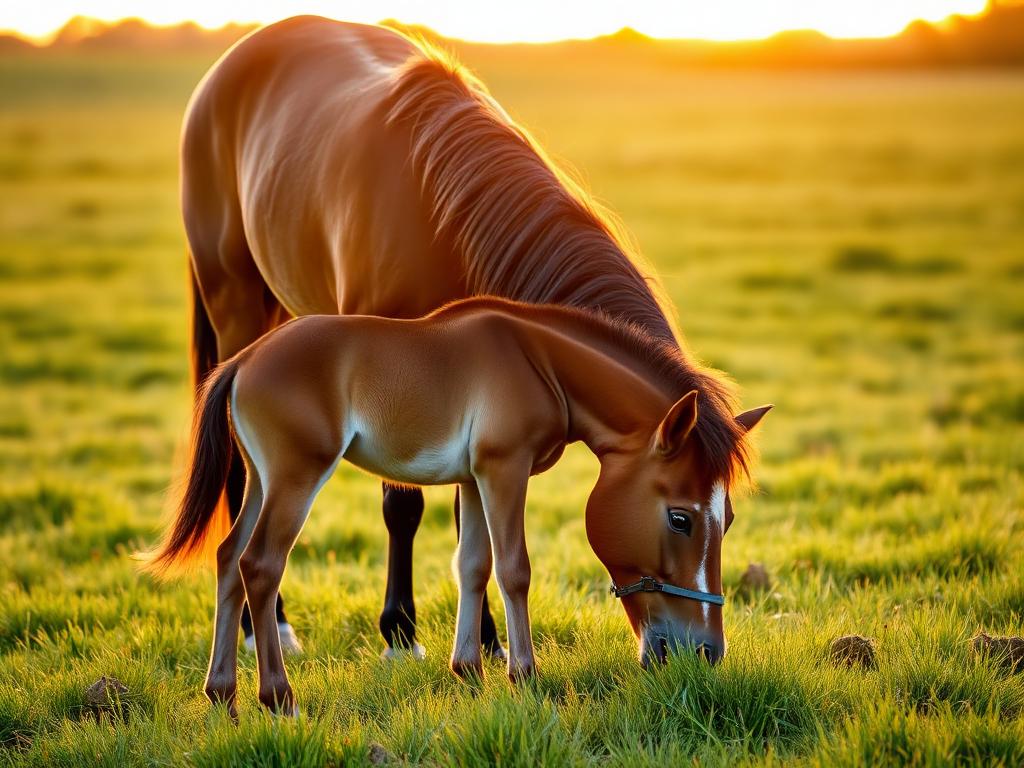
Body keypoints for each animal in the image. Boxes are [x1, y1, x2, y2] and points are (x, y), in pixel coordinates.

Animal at [144, 297, 770, 716]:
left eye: (730, 519)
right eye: (681, 517)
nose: (706, 652)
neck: (541, 361)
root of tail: (243, 361)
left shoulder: (472, 480)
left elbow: (472, 565)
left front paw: (468, 670)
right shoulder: (503, 469)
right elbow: (514, 569)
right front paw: (524, 675)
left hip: (259, 480)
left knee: (228, 558)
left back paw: (222, 694)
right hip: (296, 477)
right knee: (260, 565)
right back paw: (278, 697)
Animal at [181, 14, 743, 658]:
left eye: (728, 519)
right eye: (680, 517)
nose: (704, 652)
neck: (439, 212)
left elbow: (469, 523)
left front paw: (486, 641)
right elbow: (404, 503)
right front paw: (401, 631)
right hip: (234, 301)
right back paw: (266, 626)